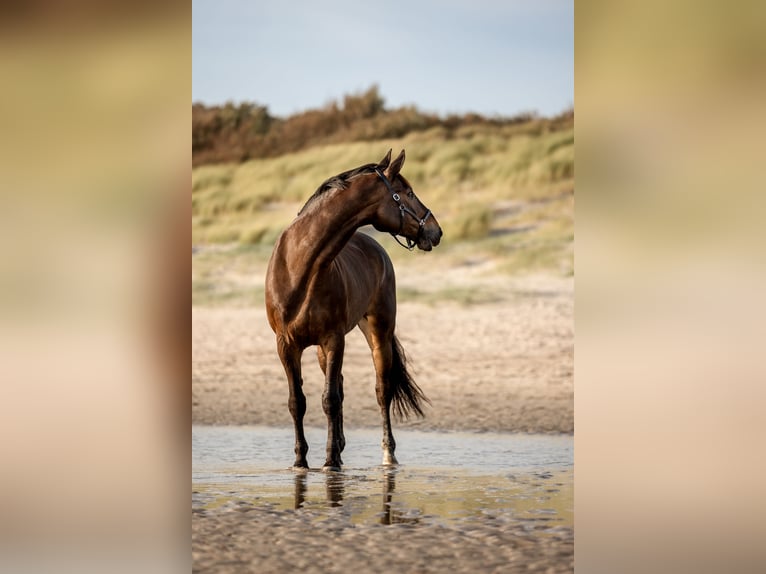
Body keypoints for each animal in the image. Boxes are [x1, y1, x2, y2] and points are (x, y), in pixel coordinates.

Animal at [266, 150, 440, 472]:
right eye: (408, 193)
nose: (436, 231)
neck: (300, 266)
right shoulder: (286, 345)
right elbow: (298, 401)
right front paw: (301, 461)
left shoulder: (334, 339)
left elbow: (329, 400)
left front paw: (330, 461)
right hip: (321, 350)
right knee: (342, 387)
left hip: (378, 333)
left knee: (382, 390)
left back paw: (387, 454)